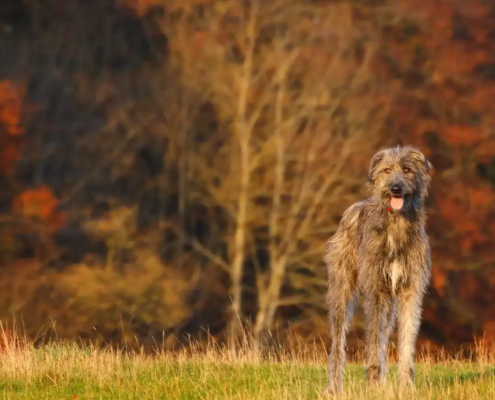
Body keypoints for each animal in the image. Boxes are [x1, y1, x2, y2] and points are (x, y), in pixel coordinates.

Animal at [326, 146, 434, 394]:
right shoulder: (376, 291)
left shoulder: (410, 290)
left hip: (390, 302)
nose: (395, 188)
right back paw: (334, 387)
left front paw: (406, 385)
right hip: (341, 289)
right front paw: (373, 382)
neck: (396, 223)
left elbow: (406, 338)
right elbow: (374, 340)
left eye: (407, 169)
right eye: (386, 170)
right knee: (338, 342)